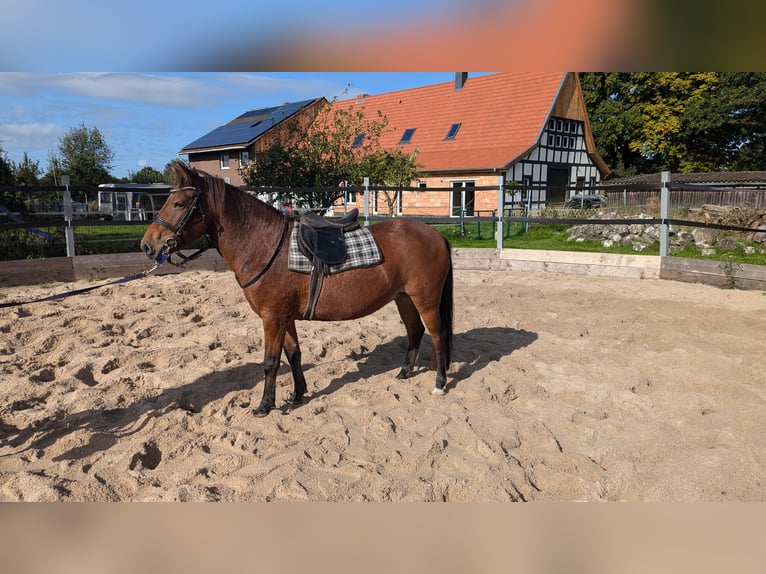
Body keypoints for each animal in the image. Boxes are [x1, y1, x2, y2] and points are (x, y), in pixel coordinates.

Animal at [141, 162, 452, 418]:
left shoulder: (272, 318)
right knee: (415, 332)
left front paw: (265, 405)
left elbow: (270, 362)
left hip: (425, 301)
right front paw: (298, 395)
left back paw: (439, 383)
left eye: (180, 203)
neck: (263, 245)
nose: (147, 245)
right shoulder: (284, 317)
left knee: (437, 336)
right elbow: (293, 355)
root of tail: (435, 235)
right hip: (404, 299)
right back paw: (404, 372)